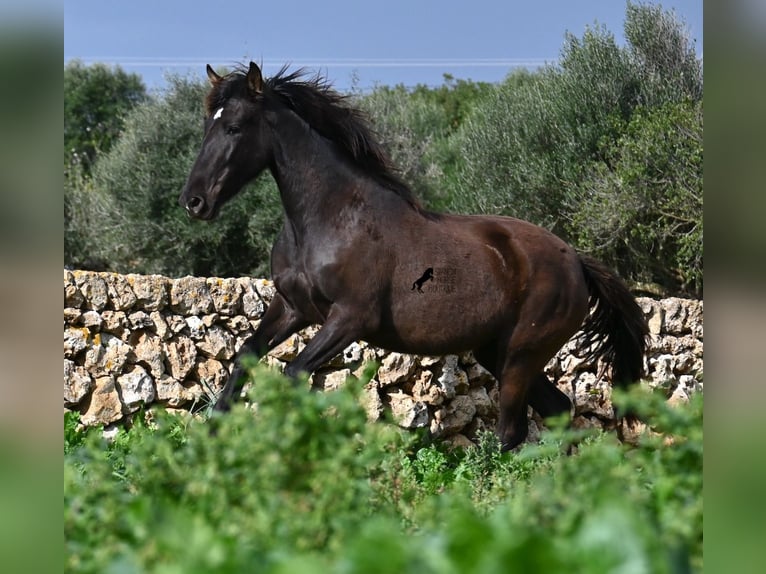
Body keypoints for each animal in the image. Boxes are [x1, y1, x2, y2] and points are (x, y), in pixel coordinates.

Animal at [180, 62, 648, 450]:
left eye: (235, 127)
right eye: (206, 126)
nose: (194, 202)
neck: (330, 218)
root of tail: (576, 262)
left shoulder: (349, 318)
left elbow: (293, 373)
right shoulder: (292, 308)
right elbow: (243, 358)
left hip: (521, 354)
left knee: (511, 432)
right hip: (499, 354)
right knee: (559, 413)